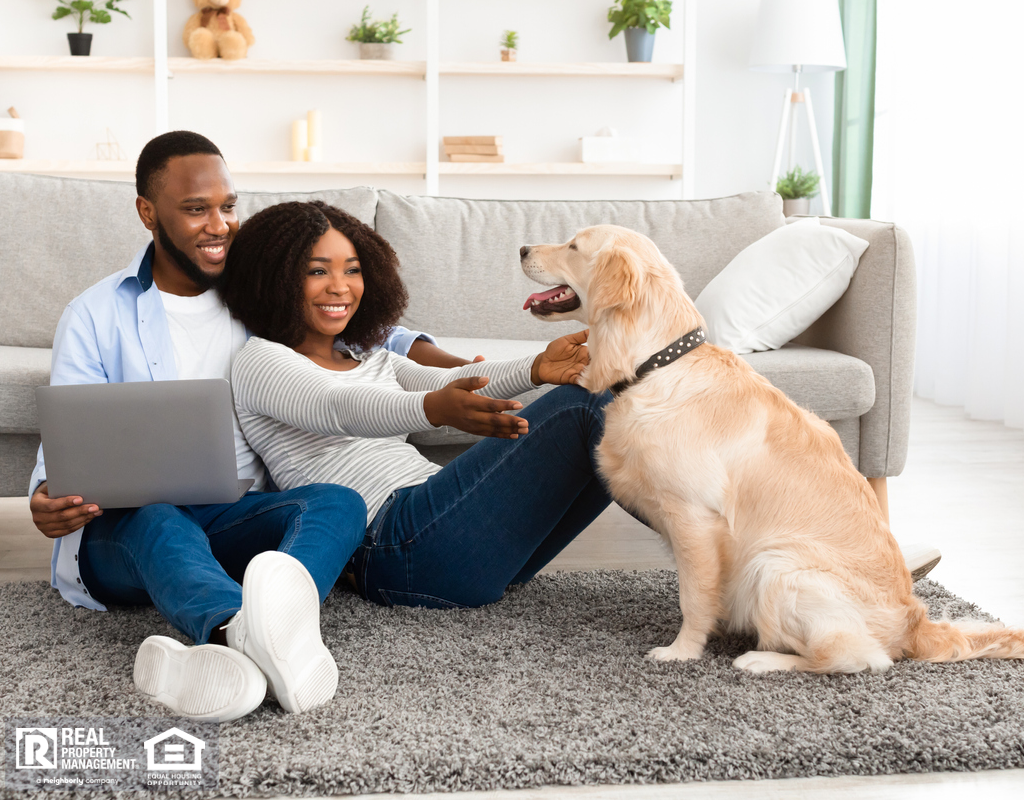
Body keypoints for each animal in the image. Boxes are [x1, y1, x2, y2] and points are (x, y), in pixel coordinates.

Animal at [520, 224, 1024, 676]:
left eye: (574, 246)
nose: (523, 248)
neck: (657, 365)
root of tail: (915, 623)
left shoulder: (693, 515)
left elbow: (693, 595)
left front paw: (682, 651)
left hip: (776, 564)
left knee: (860, 657)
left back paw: (762, 660)